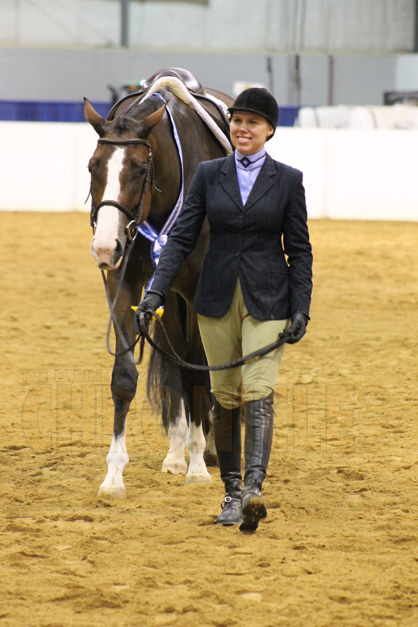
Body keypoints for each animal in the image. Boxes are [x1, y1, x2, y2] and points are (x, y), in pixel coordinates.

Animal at [84, 68, 234, 497]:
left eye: (139, 169)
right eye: (92, 166)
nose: (105, 246)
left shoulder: (199, 291)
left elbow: (197, 371)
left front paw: (198, 465)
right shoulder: (124, 285)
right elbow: (125, 377)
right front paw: (114, 475)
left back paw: (205, 450)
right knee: (174, 360)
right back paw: (174, 453)